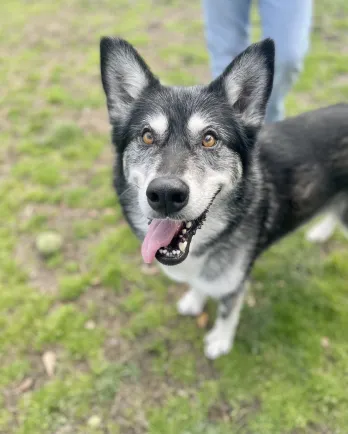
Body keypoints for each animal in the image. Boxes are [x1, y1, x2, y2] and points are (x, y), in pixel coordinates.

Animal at [99, 37, 348, 358]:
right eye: (146, 136)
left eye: (209, 138)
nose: (165, 194)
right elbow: (200, 285)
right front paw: (195, 299)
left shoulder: (234, 282)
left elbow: (228, 312)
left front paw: (220, 340)